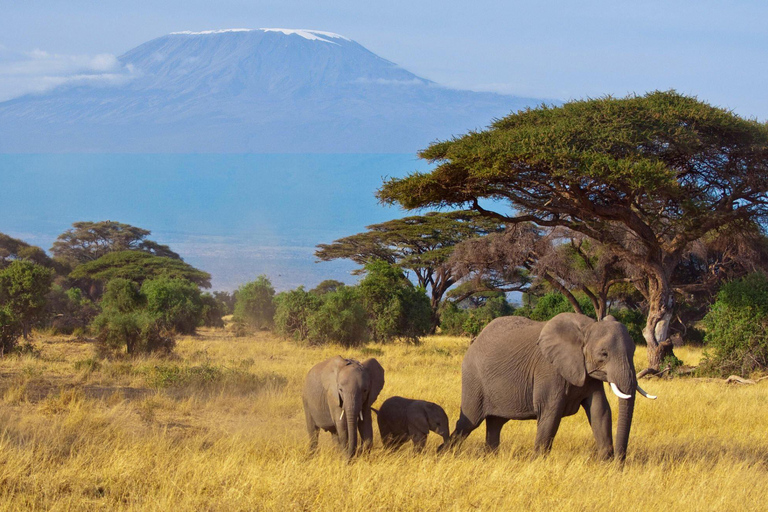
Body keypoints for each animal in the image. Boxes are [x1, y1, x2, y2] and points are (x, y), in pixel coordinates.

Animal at [440, 312, 656, 460]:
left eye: (634, 351)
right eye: (604, 354)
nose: (620, 461)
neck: (587, 328)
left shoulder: (587, 374)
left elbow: (600, 411)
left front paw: (606, 463)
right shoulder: (548, 370)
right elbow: (551, 412)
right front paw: (537, 462)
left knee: (495, 424)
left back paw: (490, 458)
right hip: (474, 378)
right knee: (468, 422)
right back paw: (441, 453)